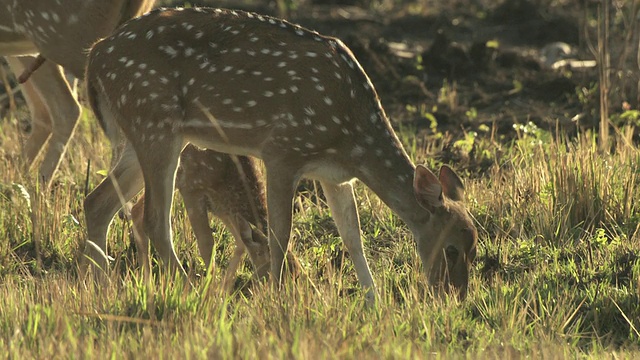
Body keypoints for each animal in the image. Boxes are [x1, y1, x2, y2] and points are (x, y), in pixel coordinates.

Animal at [130, 145, 270, 288]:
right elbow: (207, 244)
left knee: (136, 212)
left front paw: (224, 289)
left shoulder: (220, 207)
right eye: (266, 257)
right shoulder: (191, 188)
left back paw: (146, 283)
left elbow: (240, 242)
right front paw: (211, 288)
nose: (267, 287)